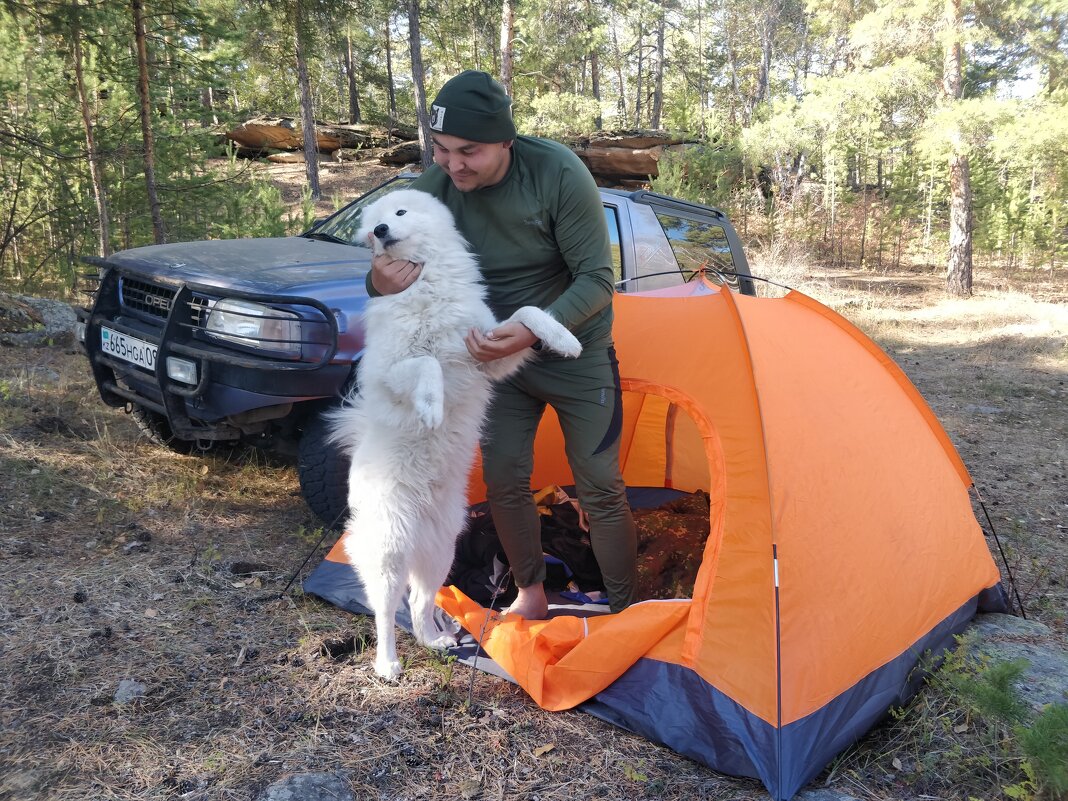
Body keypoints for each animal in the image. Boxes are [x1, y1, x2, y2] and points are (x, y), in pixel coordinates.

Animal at [333, 191, 585, 679]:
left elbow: (528, 314)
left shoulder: (489, 352)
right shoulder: (390, 373)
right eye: (374, 223)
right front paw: (432, 407)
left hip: (440, 551)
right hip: (389, 550)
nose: (379, 231)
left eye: (399, 214)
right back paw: (388, 664)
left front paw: (565, 340)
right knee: (385, 610)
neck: (426, 284)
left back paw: (435, 640)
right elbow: (427, 363)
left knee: (419, 600)